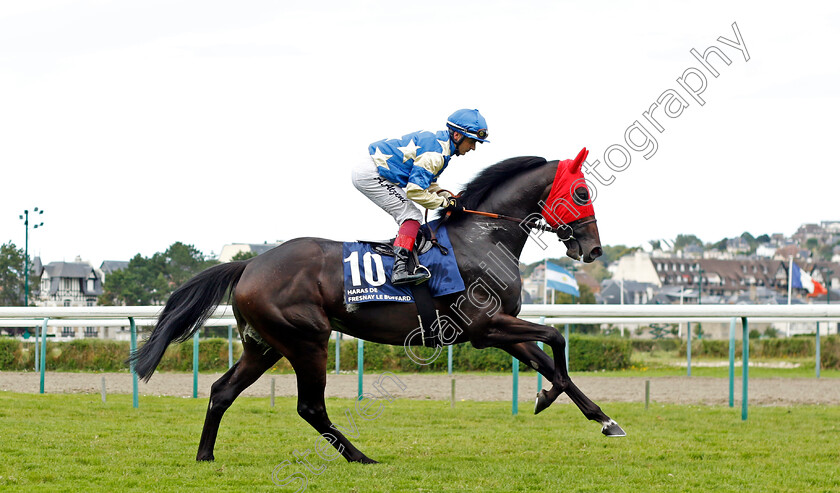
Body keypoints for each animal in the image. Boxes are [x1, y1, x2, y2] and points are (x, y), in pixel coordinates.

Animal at [133, 156, 624, 464]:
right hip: (306, 340)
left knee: (222, 391)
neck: (483, 239)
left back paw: (205, 455)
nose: (593, 249)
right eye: (582, 192)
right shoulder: (485, 328)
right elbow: (556, 339)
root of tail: (250, 263)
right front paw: (549, 398)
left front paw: (603, 419)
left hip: (265, 346)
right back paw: (361, 456)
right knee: (310, 407)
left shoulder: (499, 328)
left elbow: (550, 362)